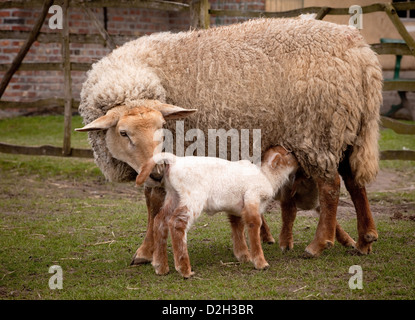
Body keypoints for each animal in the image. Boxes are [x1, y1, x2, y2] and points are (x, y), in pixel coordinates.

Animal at [78, 17, 384, 260]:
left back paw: (319, 244)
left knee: (331, 187)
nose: (153, 171)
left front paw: (144, 251)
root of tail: (363, 54)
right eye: (123, 132)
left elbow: (153, 202)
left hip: (319, 132)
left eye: (162, 127)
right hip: (348, 130)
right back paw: (364, 238)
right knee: (354, 182)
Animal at [136, 146, 300, 278]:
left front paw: (244, 256)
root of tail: (175, 160)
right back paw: (184, 270)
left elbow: (237, 229)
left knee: (160, 221)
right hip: (193, 198)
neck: (267, 176)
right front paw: (261, 263)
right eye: (288, 153)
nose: (297, 159)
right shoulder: (252, 197)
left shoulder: (236, 209)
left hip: (173, 196)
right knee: (177, 224)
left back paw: (161, 267)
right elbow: (254, 225)